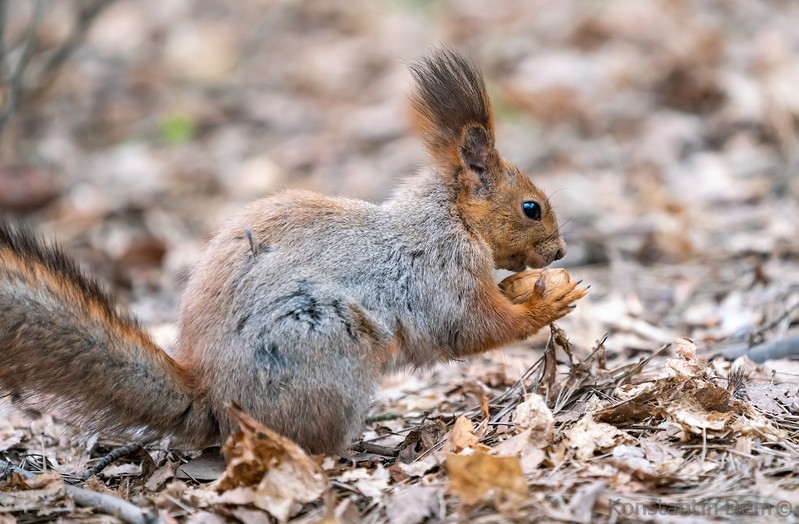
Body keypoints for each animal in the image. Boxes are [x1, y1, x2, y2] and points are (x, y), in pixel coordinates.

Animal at [0, 51, 588, 456]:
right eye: (532, 208)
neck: (451, 217)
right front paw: (546, 304)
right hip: (318, 346)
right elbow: (471, 327)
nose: (560, 251)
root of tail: (215, 403)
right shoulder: (438, 272)